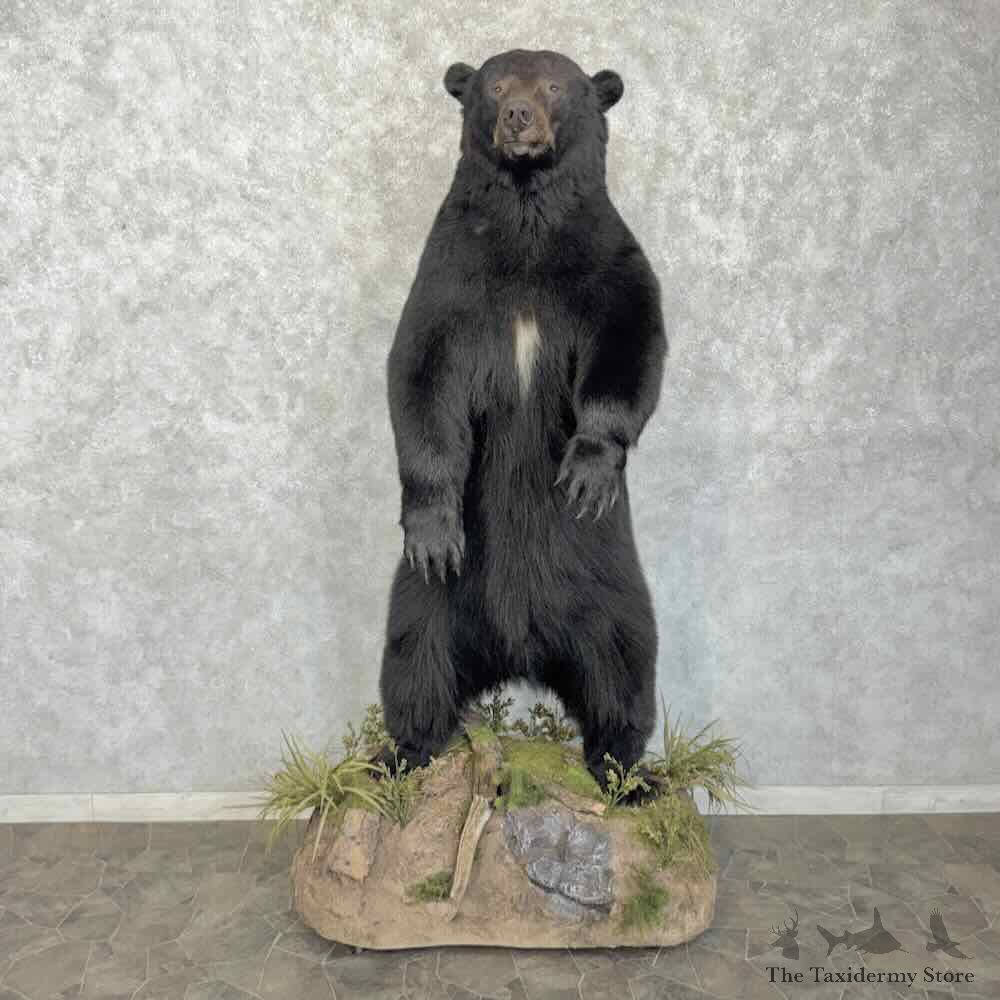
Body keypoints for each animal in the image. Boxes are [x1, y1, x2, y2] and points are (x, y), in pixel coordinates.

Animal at [377, 49, 668, 798]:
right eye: (498, 83)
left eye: (556, 85)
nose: (518, 117)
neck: (528, 225)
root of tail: (521, 649)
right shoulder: (451, 276)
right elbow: (422, 373)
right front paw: (432, 525)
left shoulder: (606, 259)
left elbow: (631, 342)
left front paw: (589, 468)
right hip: (431, 602)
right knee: (412, 662)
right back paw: (402, 757)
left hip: (614, 591)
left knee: (626, 670)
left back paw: (626, 774)